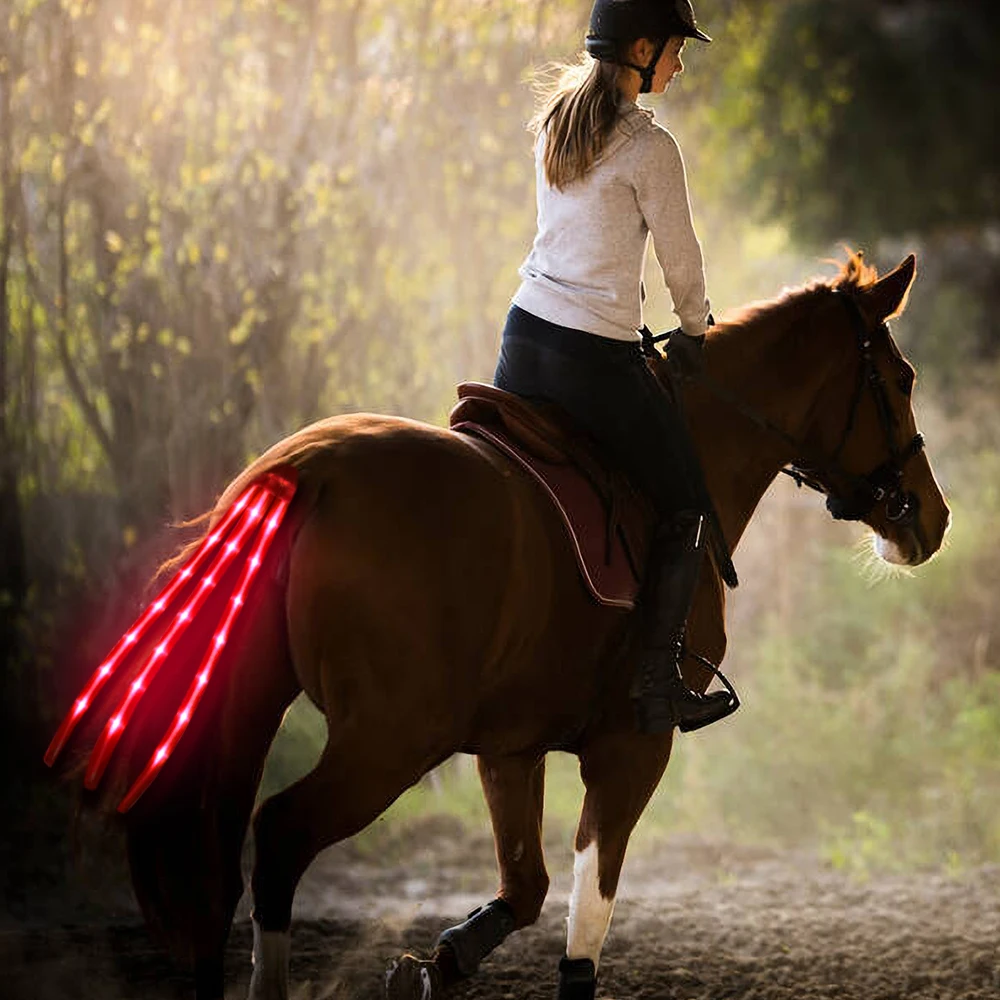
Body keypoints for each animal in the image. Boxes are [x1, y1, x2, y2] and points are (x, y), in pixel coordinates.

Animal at [54, 252, 949, 999]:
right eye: (900, 378)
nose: (931, 520)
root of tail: (307, 472)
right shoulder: (633, 746)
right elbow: (589, 913)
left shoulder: (509, 747)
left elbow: (527, 888)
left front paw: (430, 967)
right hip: (390, 740)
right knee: (278, 837)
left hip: (281, 707)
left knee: (219, 872)